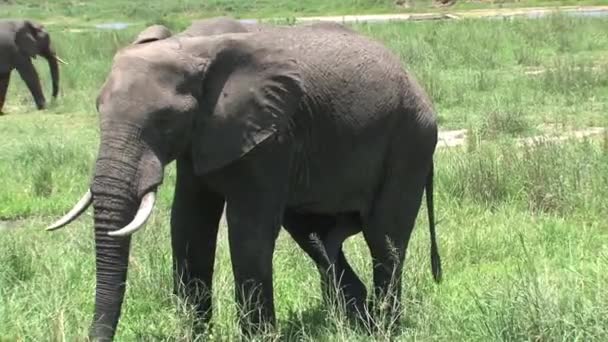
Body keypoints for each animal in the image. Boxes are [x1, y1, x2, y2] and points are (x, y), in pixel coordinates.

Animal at [47, 20, 442, 340]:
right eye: (98, 108)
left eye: (165, 120)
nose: (93, 337)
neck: (191, 45)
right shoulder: (203, 139)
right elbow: (189, 224)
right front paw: (196, 335)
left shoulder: (271, 135)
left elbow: (248, 230)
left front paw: (258, 338)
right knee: (315, 237)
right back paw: (356, 323)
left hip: (410, 141)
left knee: (384, 237)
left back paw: (384, 328)